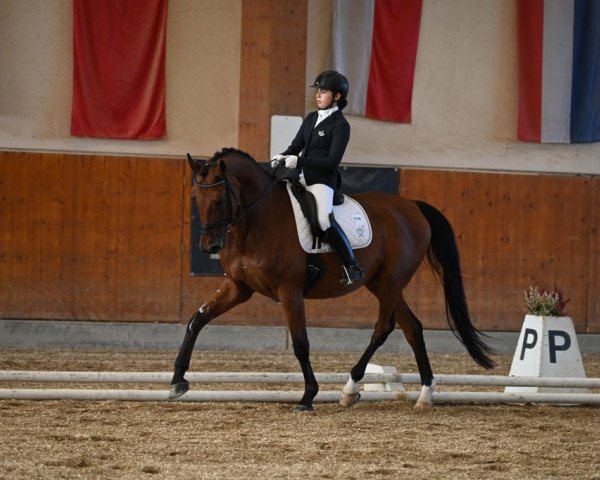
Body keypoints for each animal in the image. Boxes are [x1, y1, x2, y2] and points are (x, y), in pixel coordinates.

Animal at [169, 148, 492, 410]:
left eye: (218, 198)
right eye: (195, 198)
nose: (209, 247)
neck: (256, 222)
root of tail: (412, 206)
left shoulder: (290, 291)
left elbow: (301, 343)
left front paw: (308, 396)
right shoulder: (239, 287)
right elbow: (197, 319)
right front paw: (177, 381)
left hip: (389, 284)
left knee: (383, 328)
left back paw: (350, 388)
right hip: (384, 285)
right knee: (412, 328)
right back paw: (425, 394)